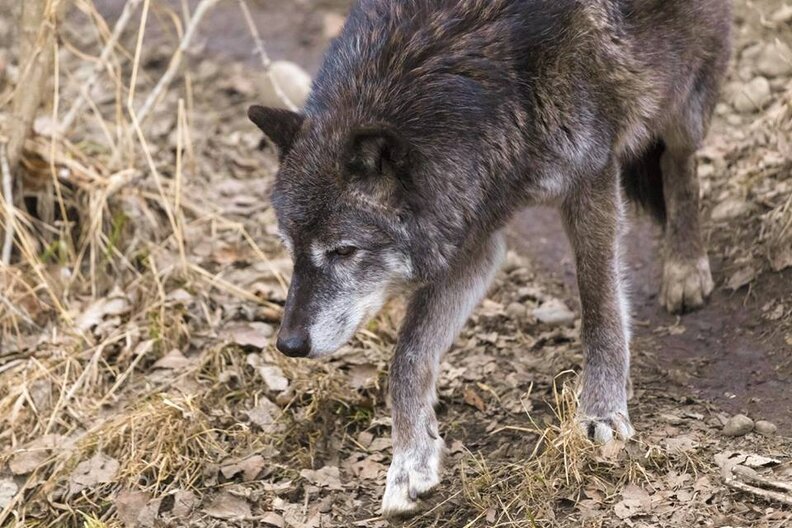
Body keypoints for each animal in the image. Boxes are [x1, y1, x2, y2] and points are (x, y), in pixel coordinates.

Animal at [247, 0, 731, 516]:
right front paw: (410, 462)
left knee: (680, 164)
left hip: (683, 99)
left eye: (343, 251)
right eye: (291, 248)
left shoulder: (591, 180)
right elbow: (407, 356)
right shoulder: (474, 233)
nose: (289, 344)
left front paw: (601, 409)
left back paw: (685, 268)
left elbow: (599, 306)